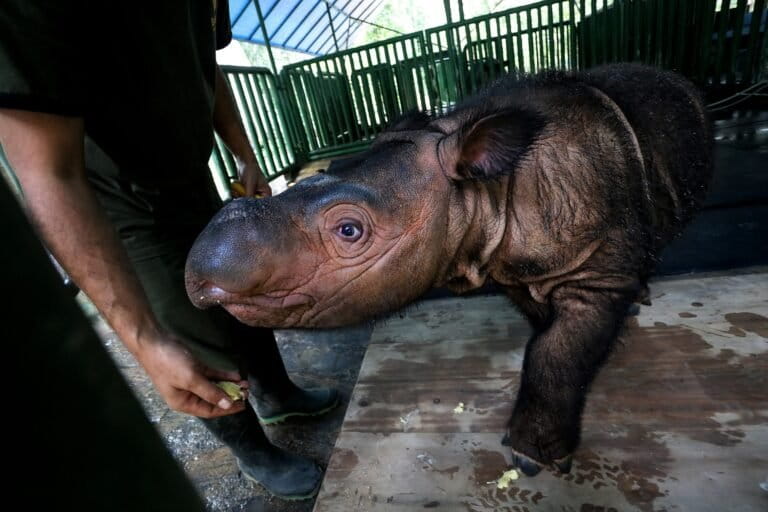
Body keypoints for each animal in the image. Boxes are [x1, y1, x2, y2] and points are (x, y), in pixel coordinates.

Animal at [186, 63, 713, 475]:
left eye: (349, 231)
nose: (198, 277)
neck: (488, 190)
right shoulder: (508, 267)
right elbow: (542, 328)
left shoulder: (596, 267)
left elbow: (559, 350)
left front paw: (531, 459)